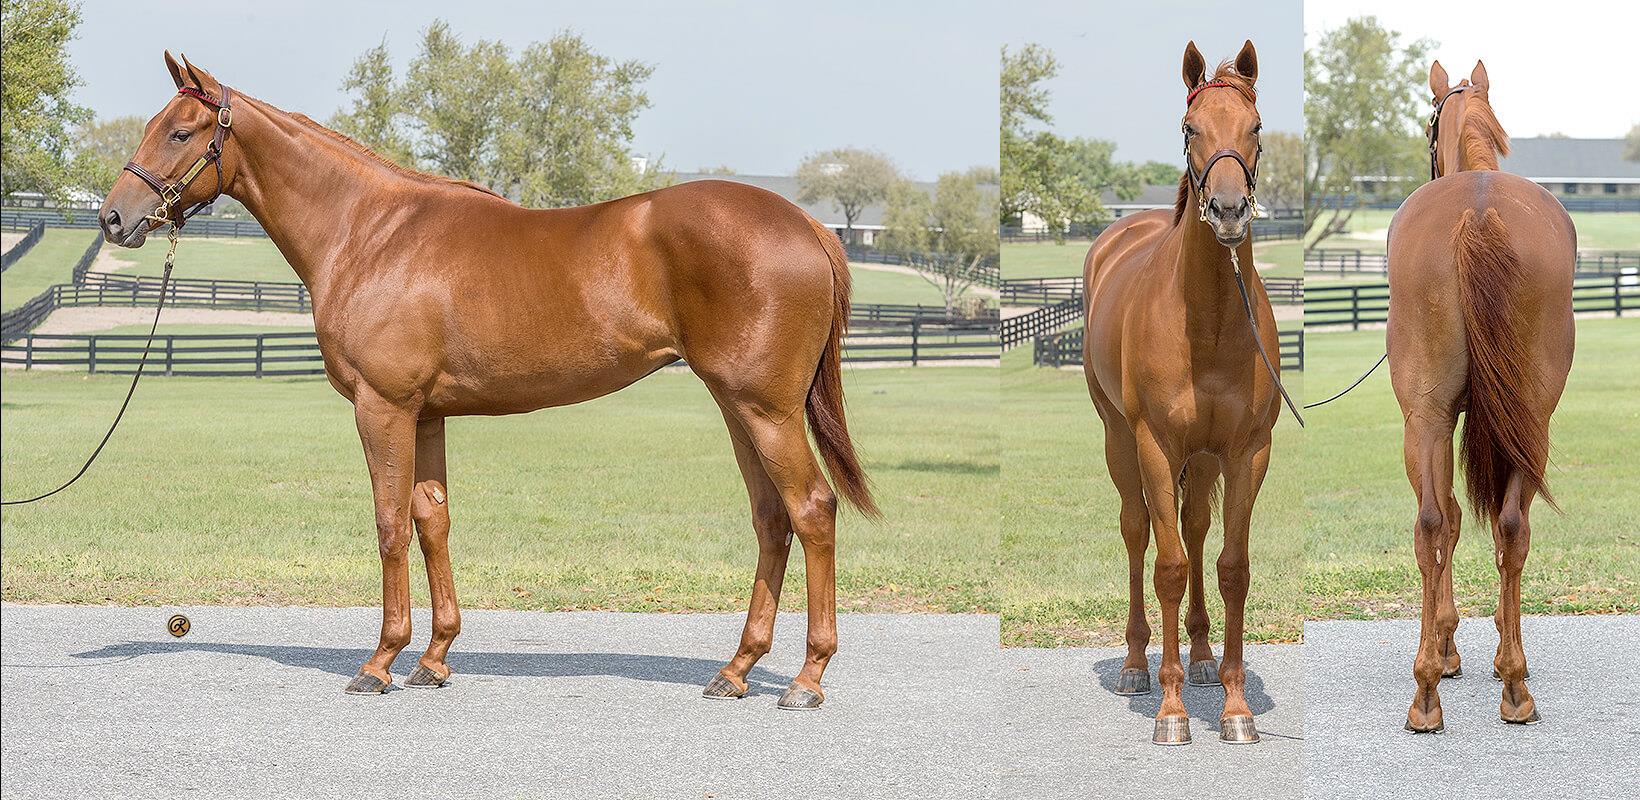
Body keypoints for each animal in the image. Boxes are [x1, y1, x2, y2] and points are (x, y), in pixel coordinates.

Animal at [98, 53, 880, 710]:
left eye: (182, 131)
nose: (113, 218)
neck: (371, 231)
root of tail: (811, 228)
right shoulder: (426, 413)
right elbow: (432, 519)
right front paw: (434, 658)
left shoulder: (383, 407)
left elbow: (389, 523)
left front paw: (380, 663)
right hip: (738, 406)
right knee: (772, 519)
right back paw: (737, 669)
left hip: (766, 409)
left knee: (812, 509)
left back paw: (807, 678)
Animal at [1081, 40, 1281, 746]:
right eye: (1190, 128)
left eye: (1255, 128)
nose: (1227, 211)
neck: (1209, 320)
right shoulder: (1158, 447)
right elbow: (1166, 566)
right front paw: (1170, 713)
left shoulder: (1247, 451)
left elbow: (1231, 567)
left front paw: (1235, 708)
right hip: (1121, 441)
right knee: (1140, 533)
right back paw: (1139, 666)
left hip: (1205, 458)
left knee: (1195, 532)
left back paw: (1198, 658)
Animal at [1389, 60, 1574, 732]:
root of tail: (1478, 211)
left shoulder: (1431, 424)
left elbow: (1447, 518)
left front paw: (1445, 647)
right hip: (1529, 420)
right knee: (1508, 526)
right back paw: (1512, 684)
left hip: (1427, 420)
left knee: (1435, 523)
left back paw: (1426, 692)